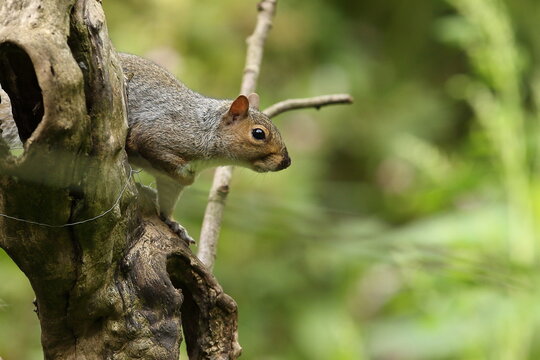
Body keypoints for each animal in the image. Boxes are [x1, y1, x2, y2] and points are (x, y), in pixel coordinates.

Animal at [0, 53, 292, 245]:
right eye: (258, 134)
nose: (286, 162)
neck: (204, 129)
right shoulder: (158, 135)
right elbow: (152, 151)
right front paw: (180, 177)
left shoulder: (170, 184)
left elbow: (168, 201)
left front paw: (173, 223)